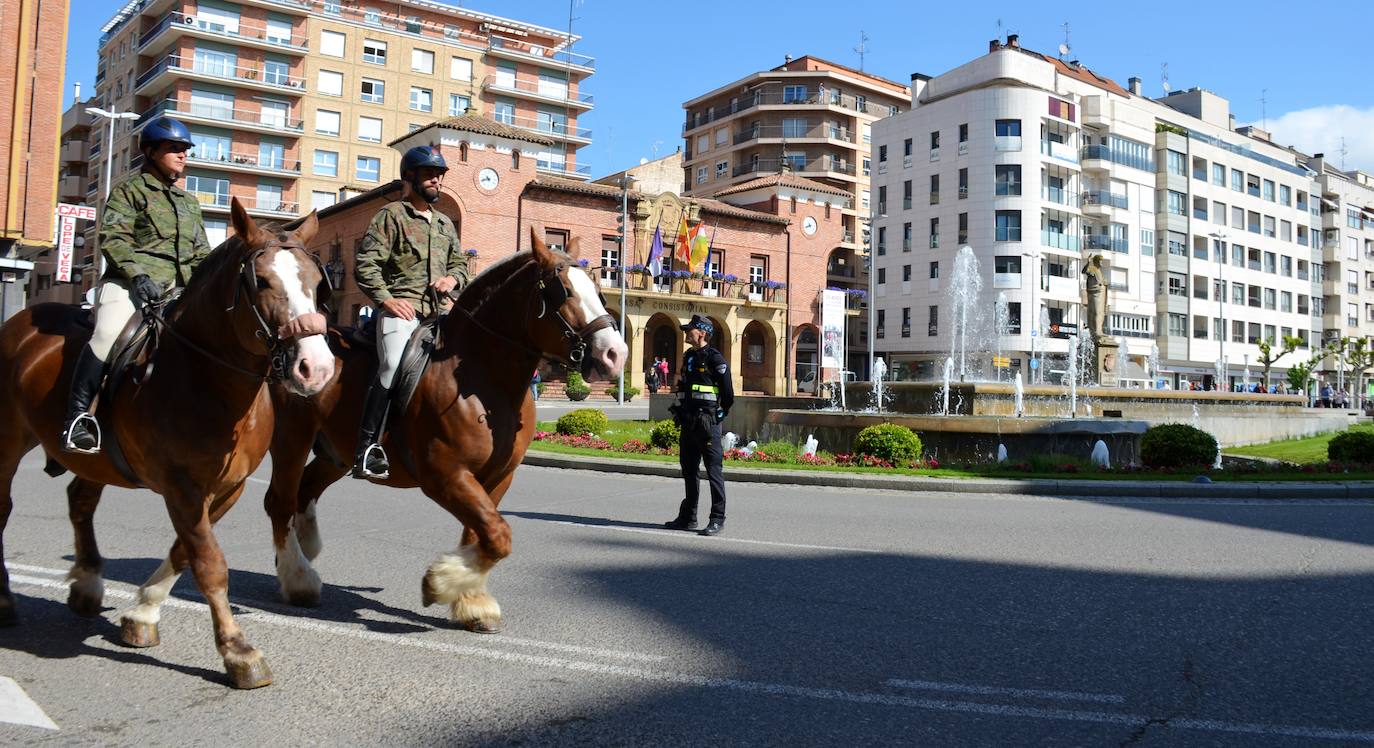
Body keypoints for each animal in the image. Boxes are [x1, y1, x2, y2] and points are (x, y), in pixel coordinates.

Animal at [0, 198, 335, 690]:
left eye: (315, 283)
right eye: (262, 281)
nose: (316, 368)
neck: (205, 377)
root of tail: (20, 322)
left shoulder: (225, 490)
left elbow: (185, 551)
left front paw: (142, 613)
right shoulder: (183, 488)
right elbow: (209, 563)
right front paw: (238, 651)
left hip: (96, 461)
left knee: (80, 502)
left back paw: (87, 583)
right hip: (7, 442)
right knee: (4, 506)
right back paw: (6, 597)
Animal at [259, 228, 626, 632]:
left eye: (597, 289)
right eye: (564, 291)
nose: (616, 354)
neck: (483, 380)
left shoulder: (496, 478)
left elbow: (482, 534)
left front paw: (471, 601)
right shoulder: (445, 475)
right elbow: (498, 536)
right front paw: (439, 582)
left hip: (335, 455)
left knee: (304, 493)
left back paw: (300, 556)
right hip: (292, 440)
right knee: (280, 501)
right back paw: (298, 579)